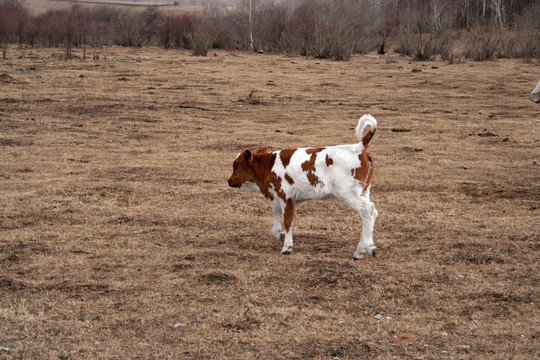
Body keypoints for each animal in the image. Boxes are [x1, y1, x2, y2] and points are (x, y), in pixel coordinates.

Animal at [229, 115, 380, 258]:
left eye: (236, 166)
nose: (229, 181)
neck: (269, 165)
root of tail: (359, 145)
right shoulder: (278, 196)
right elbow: (276, 214)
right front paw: (279, 234)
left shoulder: (286, 196)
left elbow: (288, 221)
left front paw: (287, 247)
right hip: (364, 191)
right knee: (372, 212)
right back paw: (363, 249)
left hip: (348, 193)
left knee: (367, 210)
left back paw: (365, 249)